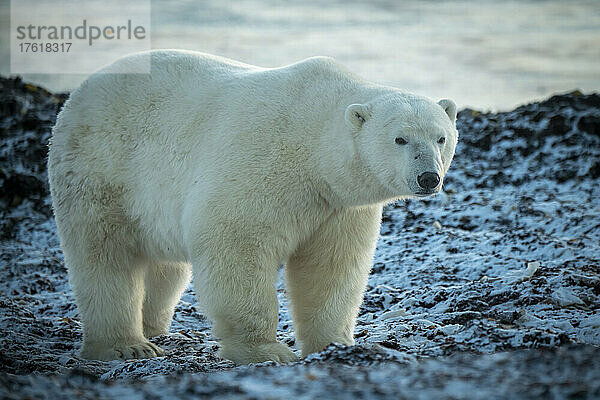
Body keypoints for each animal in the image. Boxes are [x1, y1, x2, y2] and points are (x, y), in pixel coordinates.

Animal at [48, 49, 460, 362]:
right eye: (400, 139)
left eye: (441, 137)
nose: (428, 177)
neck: (310, 140)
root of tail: (80, 92)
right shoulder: (261, 165)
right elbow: (238, 248)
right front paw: (267, 351)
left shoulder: (336, 205)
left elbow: (330, 267)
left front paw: (334, 344)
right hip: (101, 169)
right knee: (104, 258)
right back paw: (127, 345)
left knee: (166, 269)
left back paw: (155, 327)